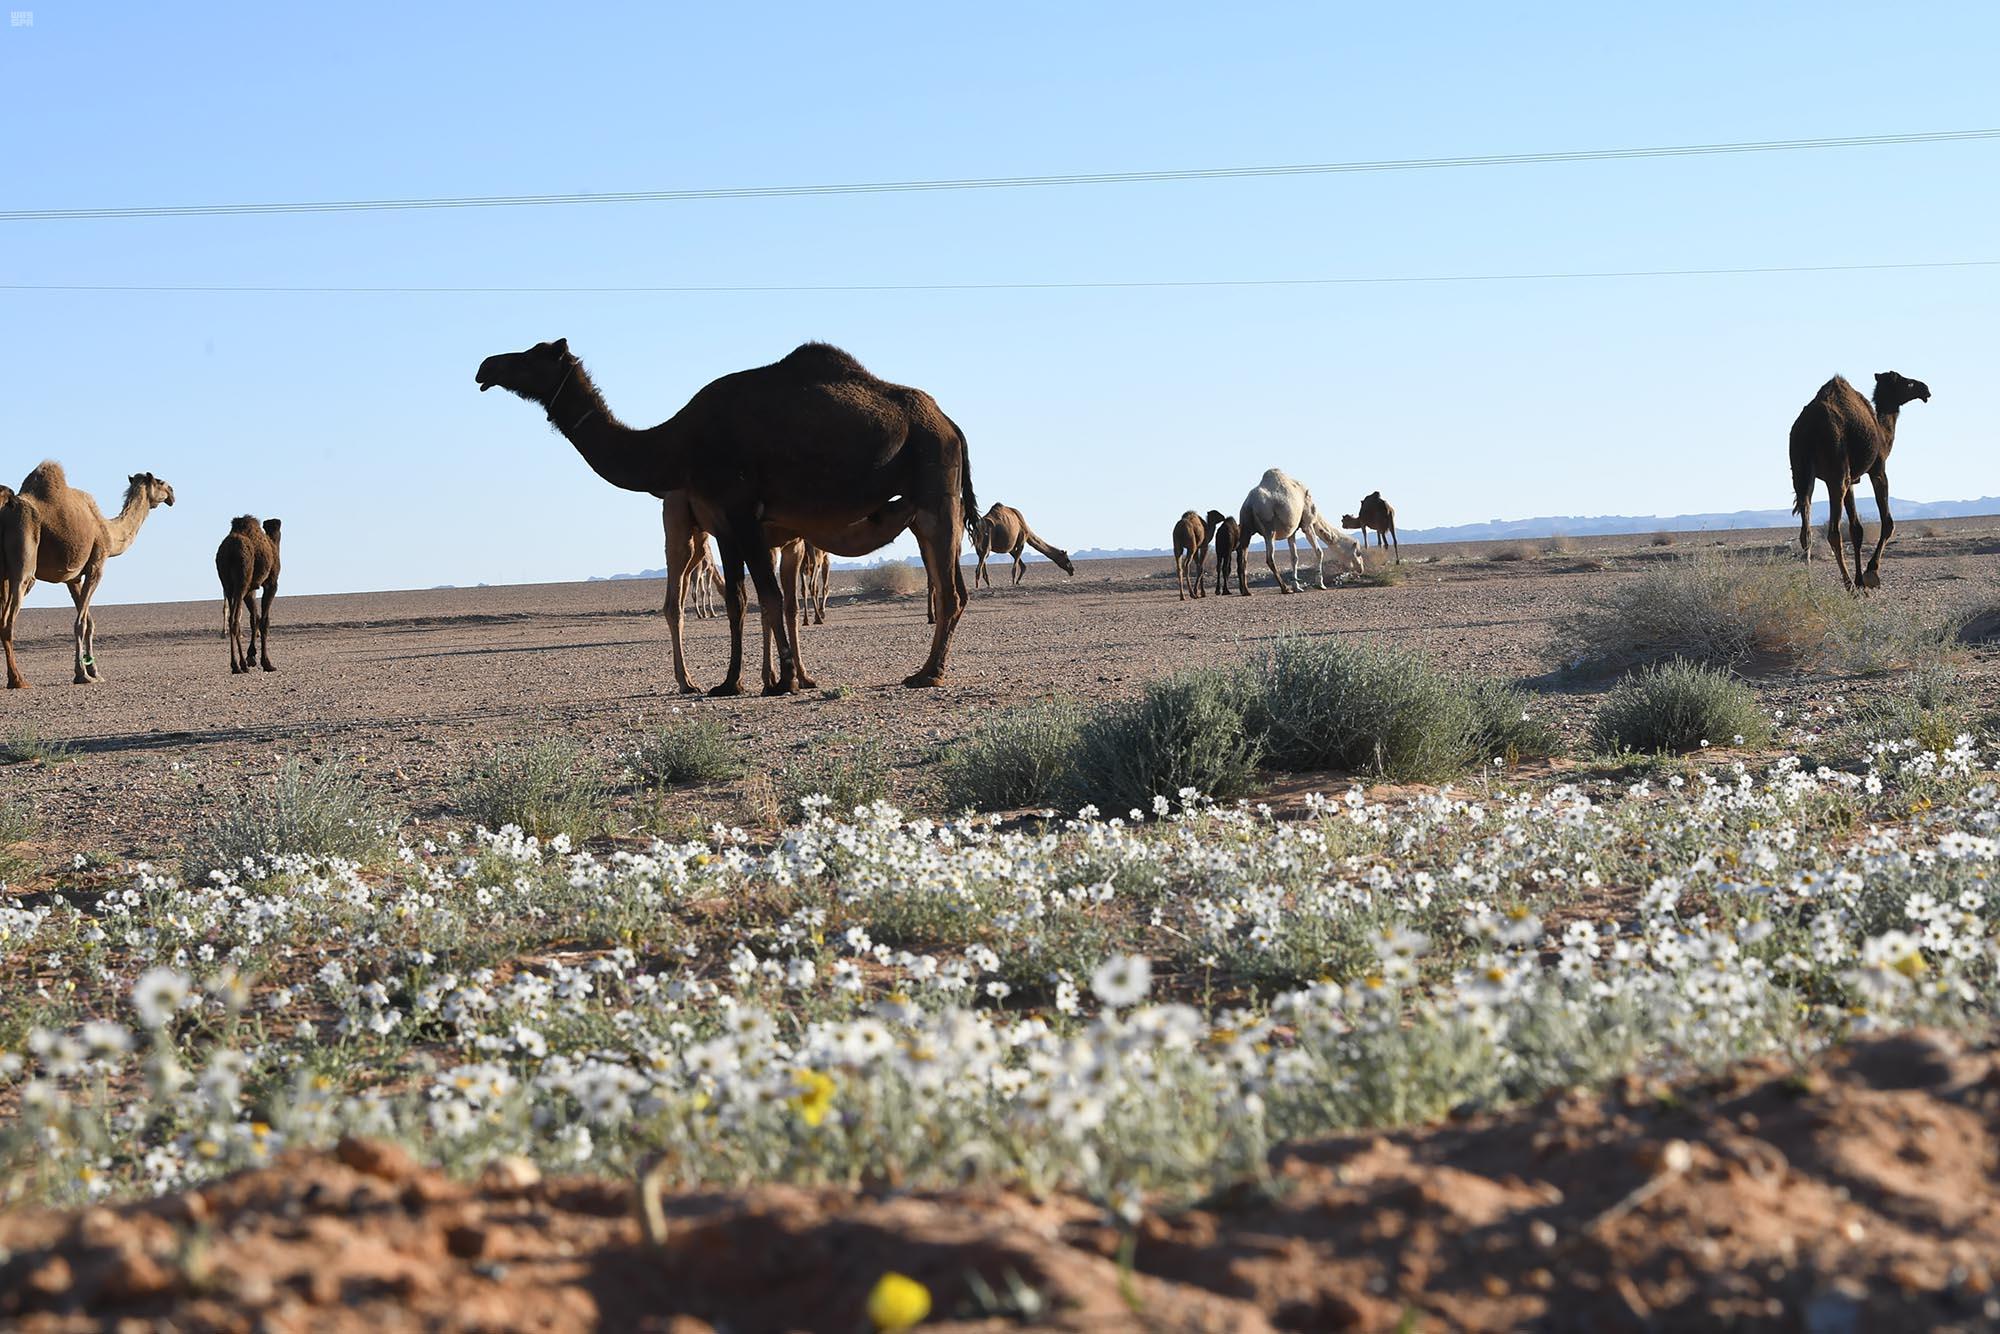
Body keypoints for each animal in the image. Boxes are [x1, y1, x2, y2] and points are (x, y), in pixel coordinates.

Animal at [0, 464, 176, 688]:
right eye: (160, 482)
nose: (172, 493)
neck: (108, 531)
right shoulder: (96, 566)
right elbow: (81, 624)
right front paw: (82, 674)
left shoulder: (72, 577)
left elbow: (90, 623)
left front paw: (94, 671)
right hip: (23, 566)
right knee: (8, 621)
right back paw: (18, 679)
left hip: (3, 575)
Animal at [217, 516, 284, 672]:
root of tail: (230, 551)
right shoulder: (271, 583)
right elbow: (264, 620)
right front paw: (266, 663)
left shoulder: (251, 589)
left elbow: (254, 619)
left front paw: (251, 656)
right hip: (241, 580)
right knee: (234, 620)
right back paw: (239, 665)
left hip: (227, 584)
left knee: (232, 616)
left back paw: (236, 664)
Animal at [478, 342, 976, 700]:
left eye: (533, 354)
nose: (485, 367)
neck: (677, 443)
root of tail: (951, 424)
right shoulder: (725, 528)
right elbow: (739, 601)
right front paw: (731, 681)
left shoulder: (743, 514)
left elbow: (771, 598)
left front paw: (783, 681)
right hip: (923, 505)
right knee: (952, 584)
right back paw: (926, 670)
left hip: (935, 489)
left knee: (950, 589)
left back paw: (928, 674)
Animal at [1232, 470, 1360, 596]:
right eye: (1358, 553)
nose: (1361, 568)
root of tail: (1249, 503)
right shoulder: (1307, 523)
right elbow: (1319, 551)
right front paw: (1320, 584)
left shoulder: (1292, 531)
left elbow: (1294, 557)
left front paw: (1297, 587)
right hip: (1269, 527)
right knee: (1269, 558)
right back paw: (1284, 588)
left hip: (1246, 525)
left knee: (1242, 555)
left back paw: (1246, 591)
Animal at [1792, 370, 1928, 588]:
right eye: (1908, 383)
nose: (1925, 389)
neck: (1882, 433)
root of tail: (1809, 426)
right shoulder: (1878, 469)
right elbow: (1887, 523)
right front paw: (1870, 573)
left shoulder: (1852, 481)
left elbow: (1857, 529)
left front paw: (1861, 581)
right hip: (1836, 472)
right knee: (1834, 533)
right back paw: (1848, 585)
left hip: (1802, 474)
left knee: (1806, 532)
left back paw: (1810, 586)